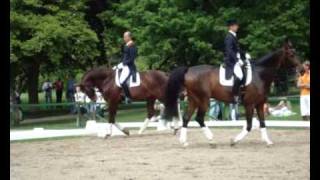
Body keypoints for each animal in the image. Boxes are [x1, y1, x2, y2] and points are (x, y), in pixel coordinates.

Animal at [164, 39, 302, 146]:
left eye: (295, 53)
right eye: (291, 54)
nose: (301, 69)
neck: (259, 74)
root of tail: (188, 70)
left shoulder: (260, 104)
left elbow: (262, 123)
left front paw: (268, 141)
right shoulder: (249, 104)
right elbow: (249, 125)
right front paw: (234, 141)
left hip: (194, 99)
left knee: (187, 118)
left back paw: (184, 142)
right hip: (203, 100)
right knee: (199, 118)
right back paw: (211, 140)